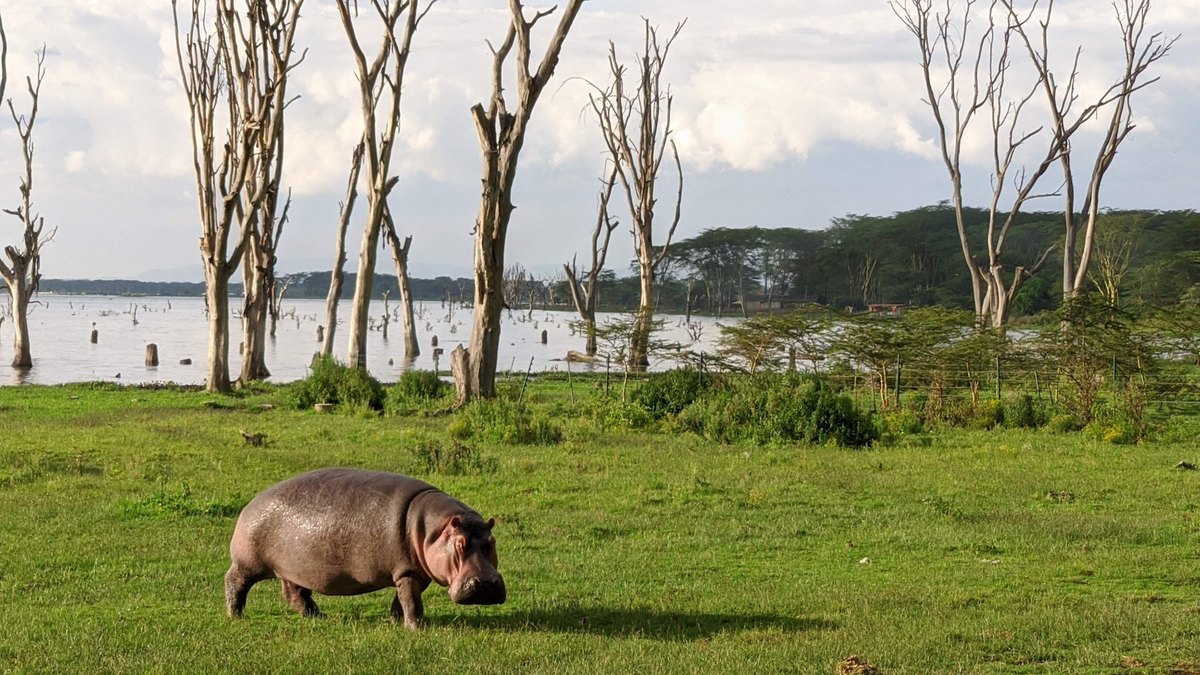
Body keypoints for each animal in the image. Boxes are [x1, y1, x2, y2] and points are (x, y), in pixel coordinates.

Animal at [224, 468, 505, 629]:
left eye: (491, 542)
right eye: (459, 544)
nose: (486, 583)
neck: (434, 530)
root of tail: (249, 505)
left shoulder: (413, 573)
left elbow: (402, 599)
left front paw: (395, 620)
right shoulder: (407, 572)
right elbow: (412, 602)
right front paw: (417, 628)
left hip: (293, 569)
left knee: (295, 593)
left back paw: (317, 616)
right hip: (247, 563)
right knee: (235, 583)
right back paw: (235, 616)